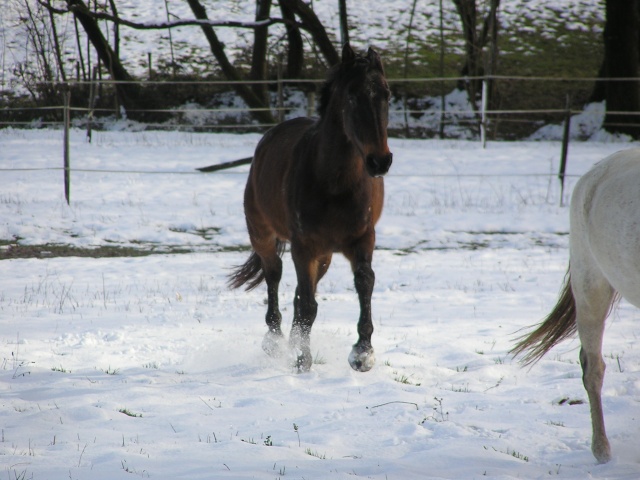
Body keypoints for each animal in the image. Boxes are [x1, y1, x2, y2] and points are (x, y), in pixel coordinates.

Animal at [228, 44, 392, 372]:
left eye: (387, 94)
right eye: (352, 96)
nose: (380, 161)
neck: (335, 183)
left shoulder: (362, 239)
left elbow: (364, 282)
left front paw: (363, 352)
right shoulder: (303, 246)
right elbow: (307, 305)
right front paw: (303, 361)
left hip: (324, 255)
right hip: (263, 235)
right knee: (274, 276)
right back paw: (275, 342)